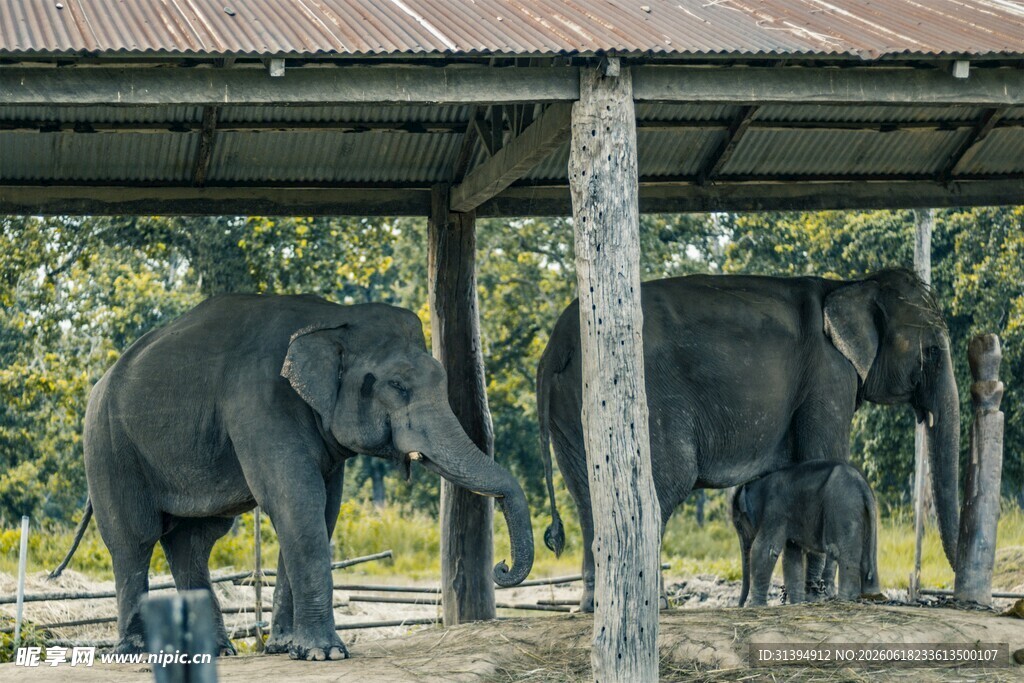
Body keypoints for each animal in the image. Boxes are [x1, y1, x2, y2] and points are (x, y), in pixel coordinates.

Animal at [51, 294, 533, 660]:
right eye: (398, 386)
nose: (501, 567)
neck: (333, 318)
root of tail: (102, 379)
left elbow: (321, 509)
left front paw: (287, 648)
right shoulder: (260, 402)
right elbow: (295, 501)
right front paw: (325, 653)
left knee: (193, 540)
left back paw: (216, 651)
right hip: (108, 445)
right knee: (134, 538)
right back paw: (136, 651)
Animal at [730, 462, 880, 606]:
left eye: (738, 525)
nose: (740, 605)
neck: (758, 483)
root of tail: (864, 486)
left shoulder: (775, 512)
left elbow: (764, 550)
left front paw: (755, 606)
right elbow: (791, 556)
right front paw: (797, 603)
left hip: (844, 508)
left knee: (844, 555)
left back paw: (845, 600)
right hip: (863, 514)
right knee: (867, 559)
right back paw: (870, 596)